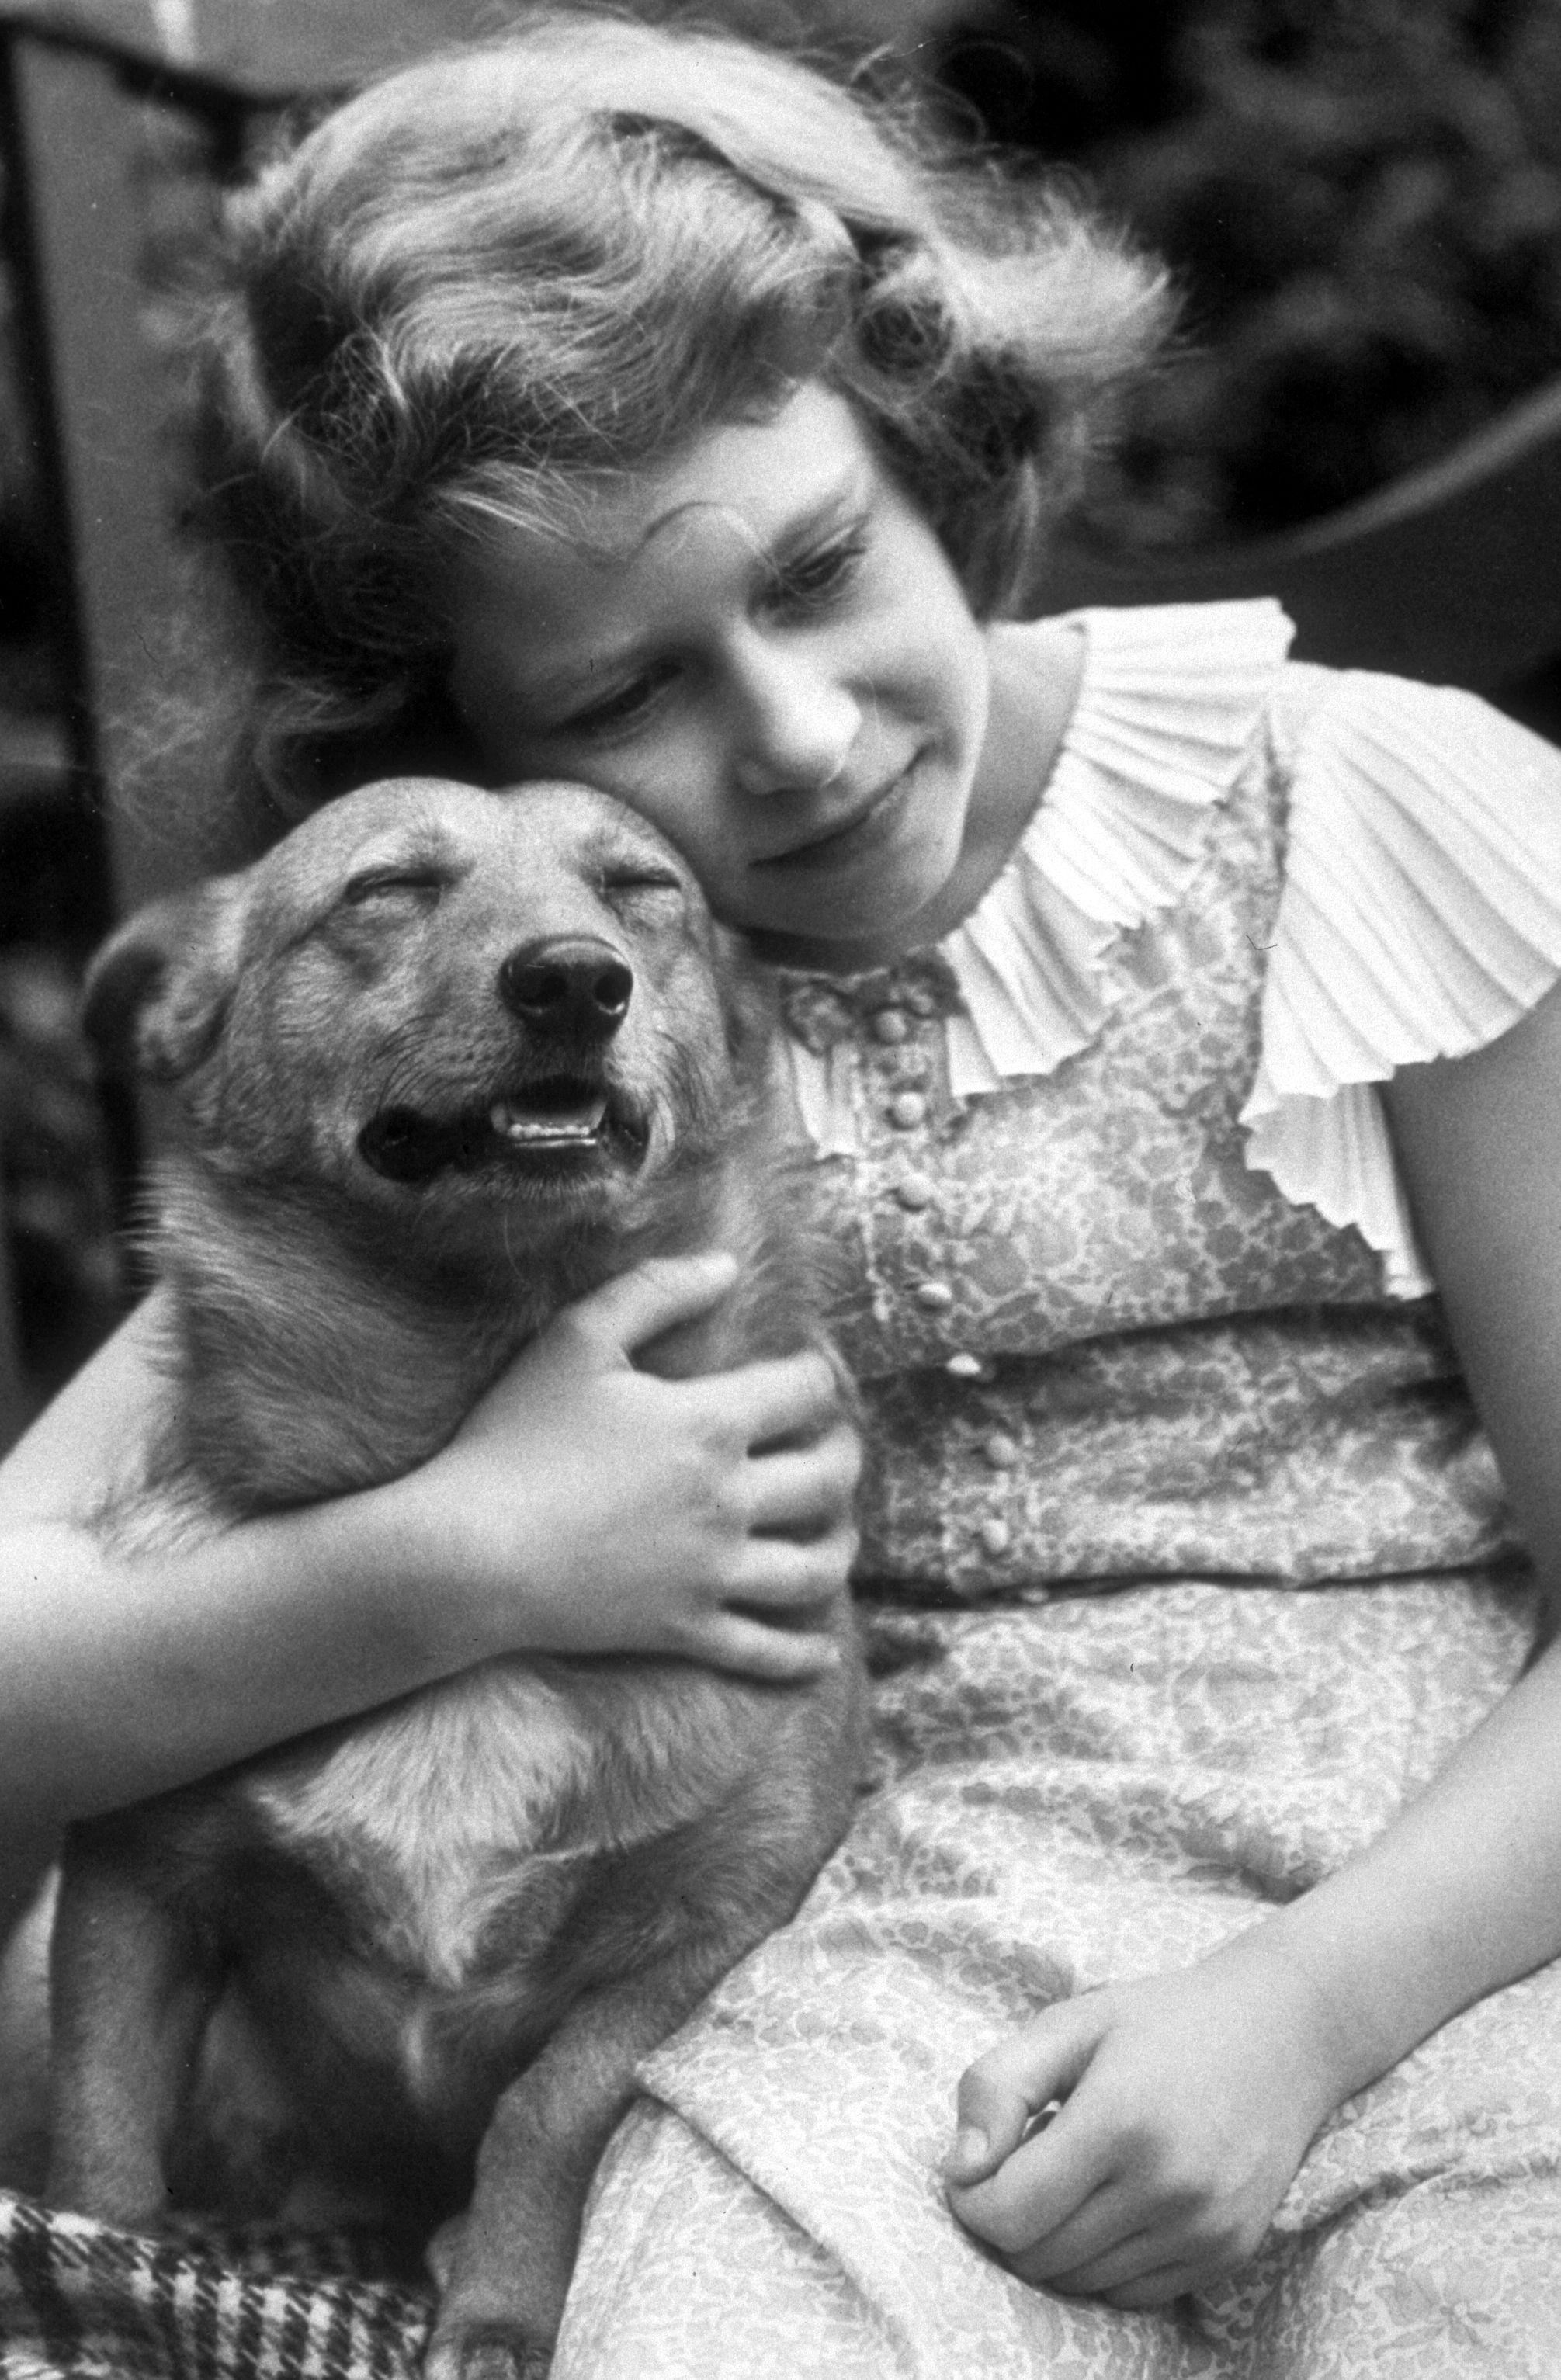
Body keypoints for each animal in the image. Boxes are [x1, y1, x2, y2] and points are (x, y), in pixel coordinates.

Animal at [46, 780, 865, 2380]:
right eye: (388, 889)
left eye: (641, 888)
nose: (575, 980)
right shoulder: (129, 1888)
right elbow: (97, 2159)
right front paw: (96, 2313)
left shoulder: (715, 1925)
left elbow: (554, 2106)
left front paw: (494, 2309)